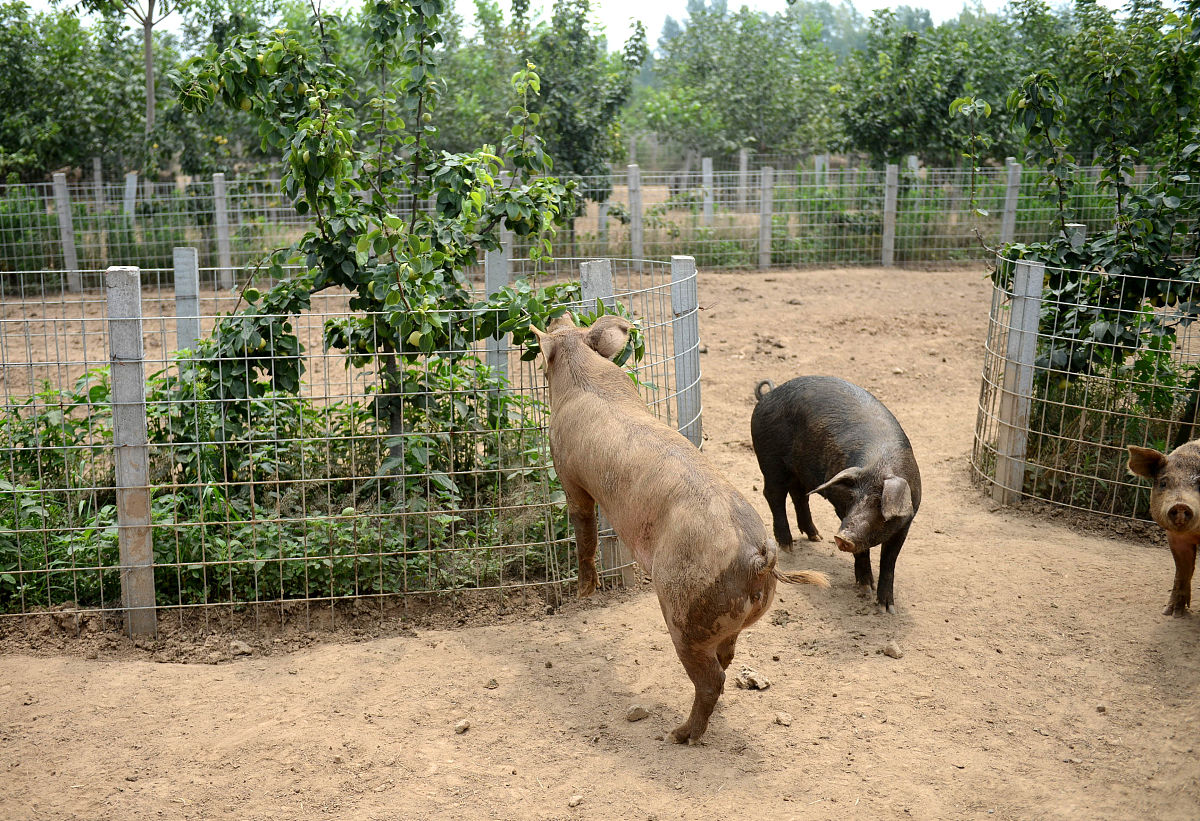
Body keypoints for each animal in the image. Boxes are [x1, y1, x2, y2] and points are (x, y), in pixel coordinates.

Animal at [530, 312, 830, 744]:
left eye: (546, 349)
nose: (558, 315)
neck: (583, 375)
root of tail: (759, 557)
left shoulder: (568, 471)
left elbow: (583, 526)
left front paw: (583, 591)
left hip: (683, 609)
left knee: (711, 678)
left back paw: (679, 735)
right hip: (724, 617)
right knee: (728, 656)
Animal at [753, 374, 921, 612]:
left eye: (879, 503)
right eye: (852, 498)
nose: (842, 538)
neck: (881, 464)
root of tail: (768, 395)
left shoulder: (906, 523)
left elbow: (889, 562)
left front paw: (886, 609)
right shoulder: (842, 509)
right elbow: (863, 552)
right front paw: (865, 588)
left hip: (799, 469)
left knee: (798, 494)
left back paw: (815, 537)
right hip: (771, 461)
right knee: (773, 495)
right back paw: (788, 546)